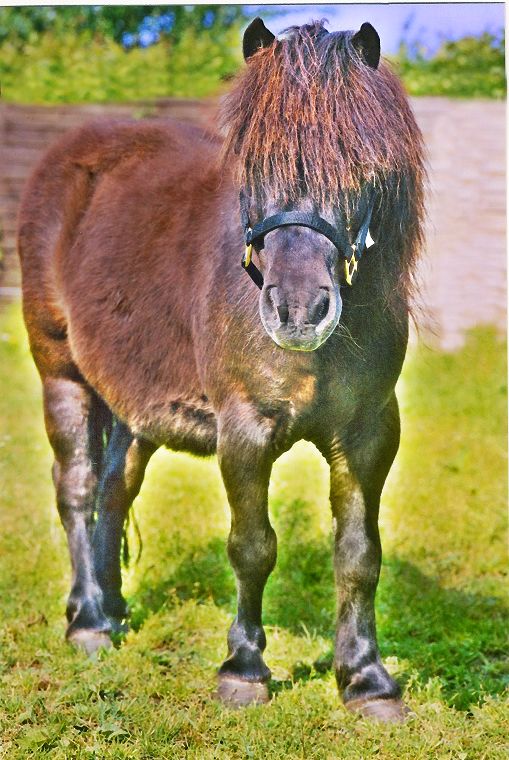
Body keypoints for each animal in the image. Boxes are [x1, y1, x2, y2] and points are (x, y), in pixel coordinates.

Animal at [17, 14, 424, 720]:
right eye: (253, 167)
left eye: (357, 166)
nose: (297, 310)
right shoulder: (245, 432)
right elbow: (253, 546)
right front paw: (244, 670)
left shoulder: (370, 434)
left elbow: (359, 554)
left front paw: (366, 679)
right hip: (61, 373)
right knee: (76, 489)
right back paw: (89, 620)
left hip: (134, 405)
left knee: (114, 490)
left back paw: (112, 609)